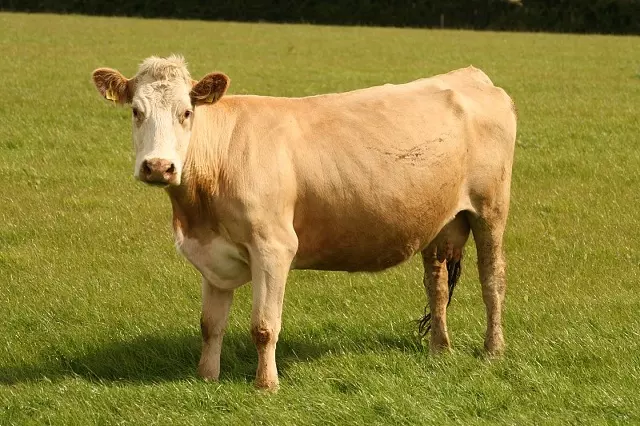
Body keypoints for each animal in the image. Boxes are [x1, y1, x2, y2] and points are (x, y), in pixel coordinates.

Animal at [92, 55, 516, 392]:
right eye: (136, 112)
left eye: (186, 112)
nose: (158, 166)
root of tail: (470, 75)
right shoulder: (212, 253)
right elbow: (210, 324)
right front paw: (206, 377)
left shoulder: (274, 247)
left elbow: (264, 326)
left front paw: (266, 385)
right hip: (438, 220)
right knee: (437, 284)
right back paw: (439, 349)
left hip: (491, 210)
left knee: (492, 279)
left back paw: (493, 350)